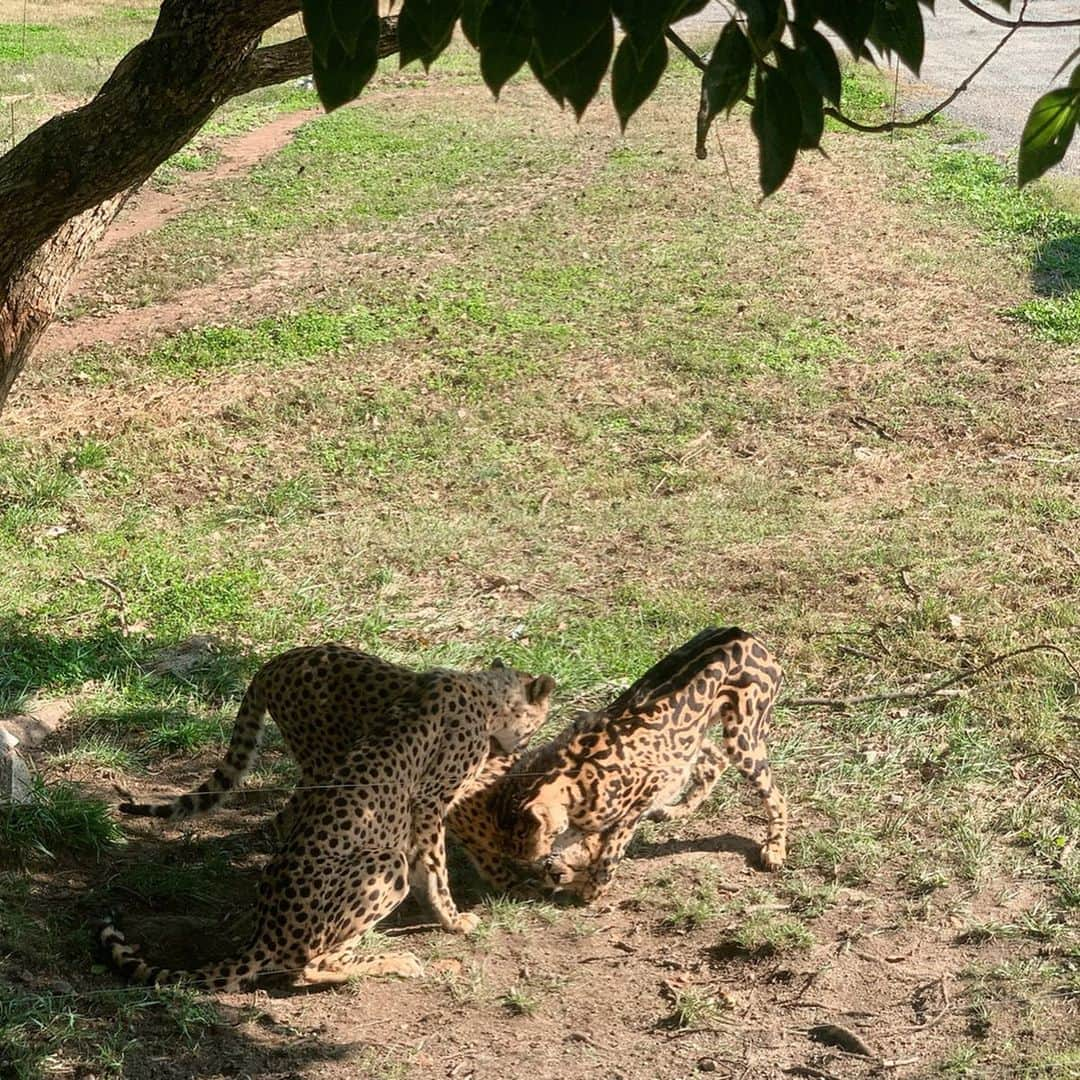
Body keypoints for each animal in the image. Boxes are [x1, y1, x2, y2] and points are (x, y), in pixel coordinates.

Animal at [96, 660, 552, 989]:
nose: (518, 750)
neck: (483, 692)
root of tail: (266, 934)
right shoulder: (429, 803)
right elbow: (437, 869)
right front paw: (453, 919)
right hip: (385, 863)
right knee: (310, 965)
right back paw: (393, 961)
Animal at [447, 630, 786, 898]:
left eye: (520, 840)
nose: (531, 861)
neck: (571, 781)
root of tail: (744, 634)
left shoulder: (642, 797)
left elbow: (611, 849)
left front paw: (593, 890)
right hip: (693, 733)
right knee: (713, 761)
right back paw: (678, 810)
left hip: (743, 737)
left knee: (776, 797)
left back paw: (775, 848)